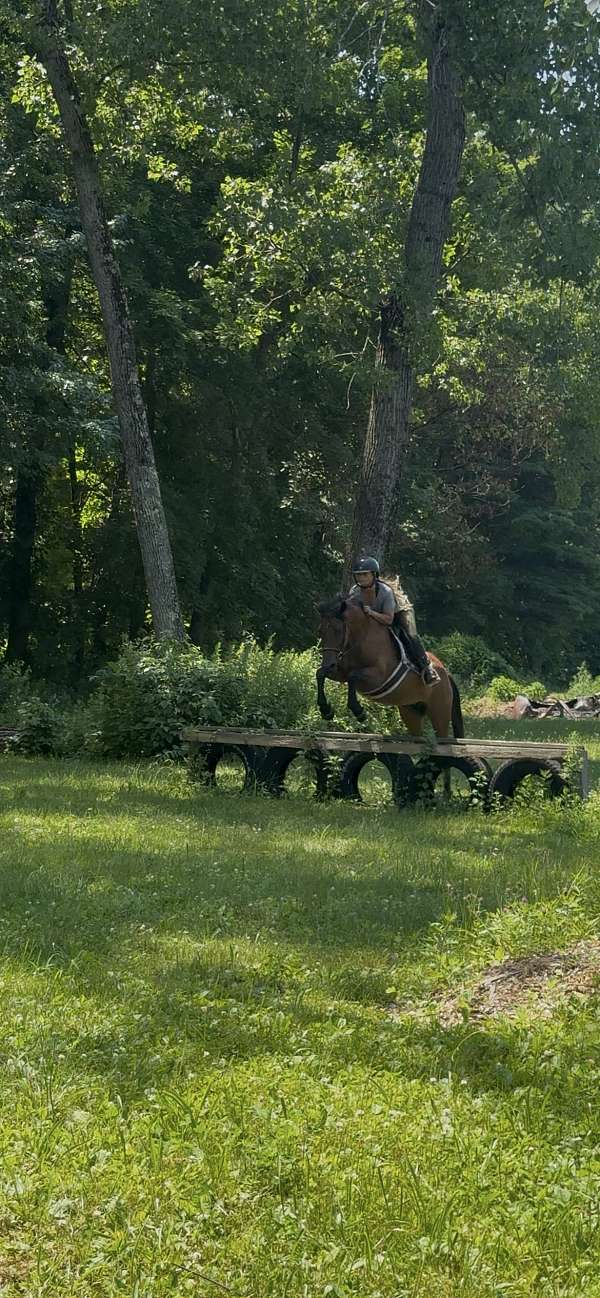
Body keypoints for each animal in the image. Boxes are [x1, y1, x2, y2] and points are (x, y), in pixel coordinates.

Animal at [316, 595, 464, 739]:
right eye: (320, 631)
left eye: (338, 630)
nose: (329, 663)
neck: (361, 638)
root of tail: (446, 674)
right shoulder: (341, 674)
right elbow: (320, 673)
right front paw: (326, 710)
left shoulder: (378, 678)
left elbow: (353, 676)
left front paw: (359, 712)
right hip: (410, 711)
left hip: (439, 713)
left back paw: (431, 675)